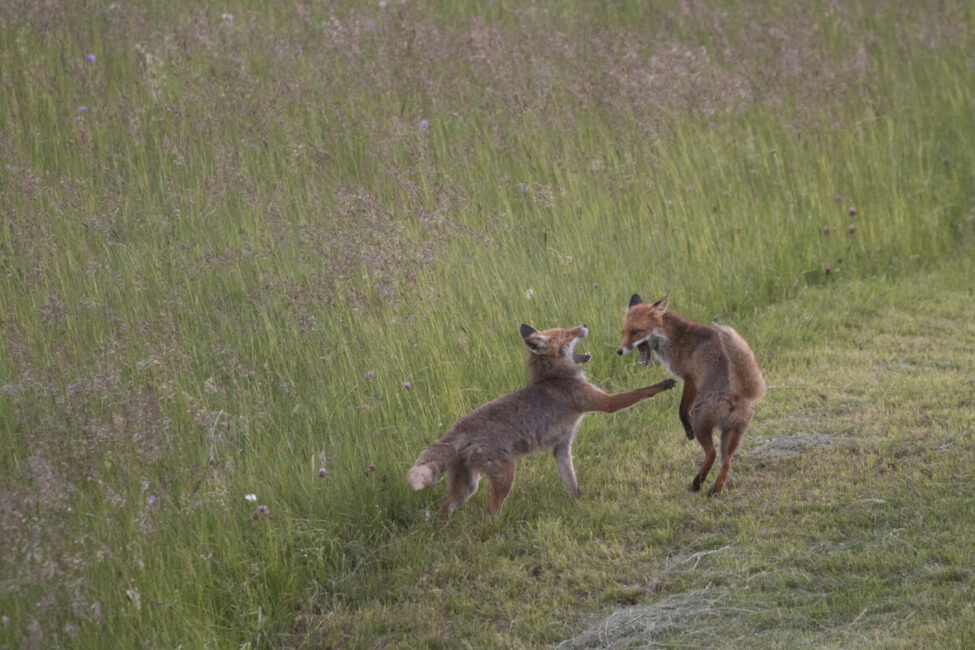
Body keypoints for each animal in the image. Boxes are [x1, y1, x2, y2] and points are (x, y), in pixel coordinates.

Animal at [408, 324, 676, 520]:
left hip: (467, 487)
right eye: (567, 334)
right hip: (505, 477)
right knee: (491, 510)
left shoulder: (561, 447)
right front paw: (663, 384)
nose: (584, 325)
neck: (555, 376)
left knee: (445, 509)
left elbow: (572, 484)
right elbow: (639, 392)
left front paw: (579, 506)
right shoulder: (604, 403)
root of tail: (456, 428)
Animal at [616, 294, 772, 496]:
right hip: (732, 432)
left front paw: (686, 427)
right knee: (726, 462)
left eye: (635, 332)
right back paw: (714, 490)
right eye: (623, 333)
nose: (619, 351)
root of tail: (740, 390)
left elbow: (682, 409)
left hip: (702, 421)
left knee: (712, 453)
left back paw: (697, 483)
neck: (676, 339)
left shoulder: (690, 379)